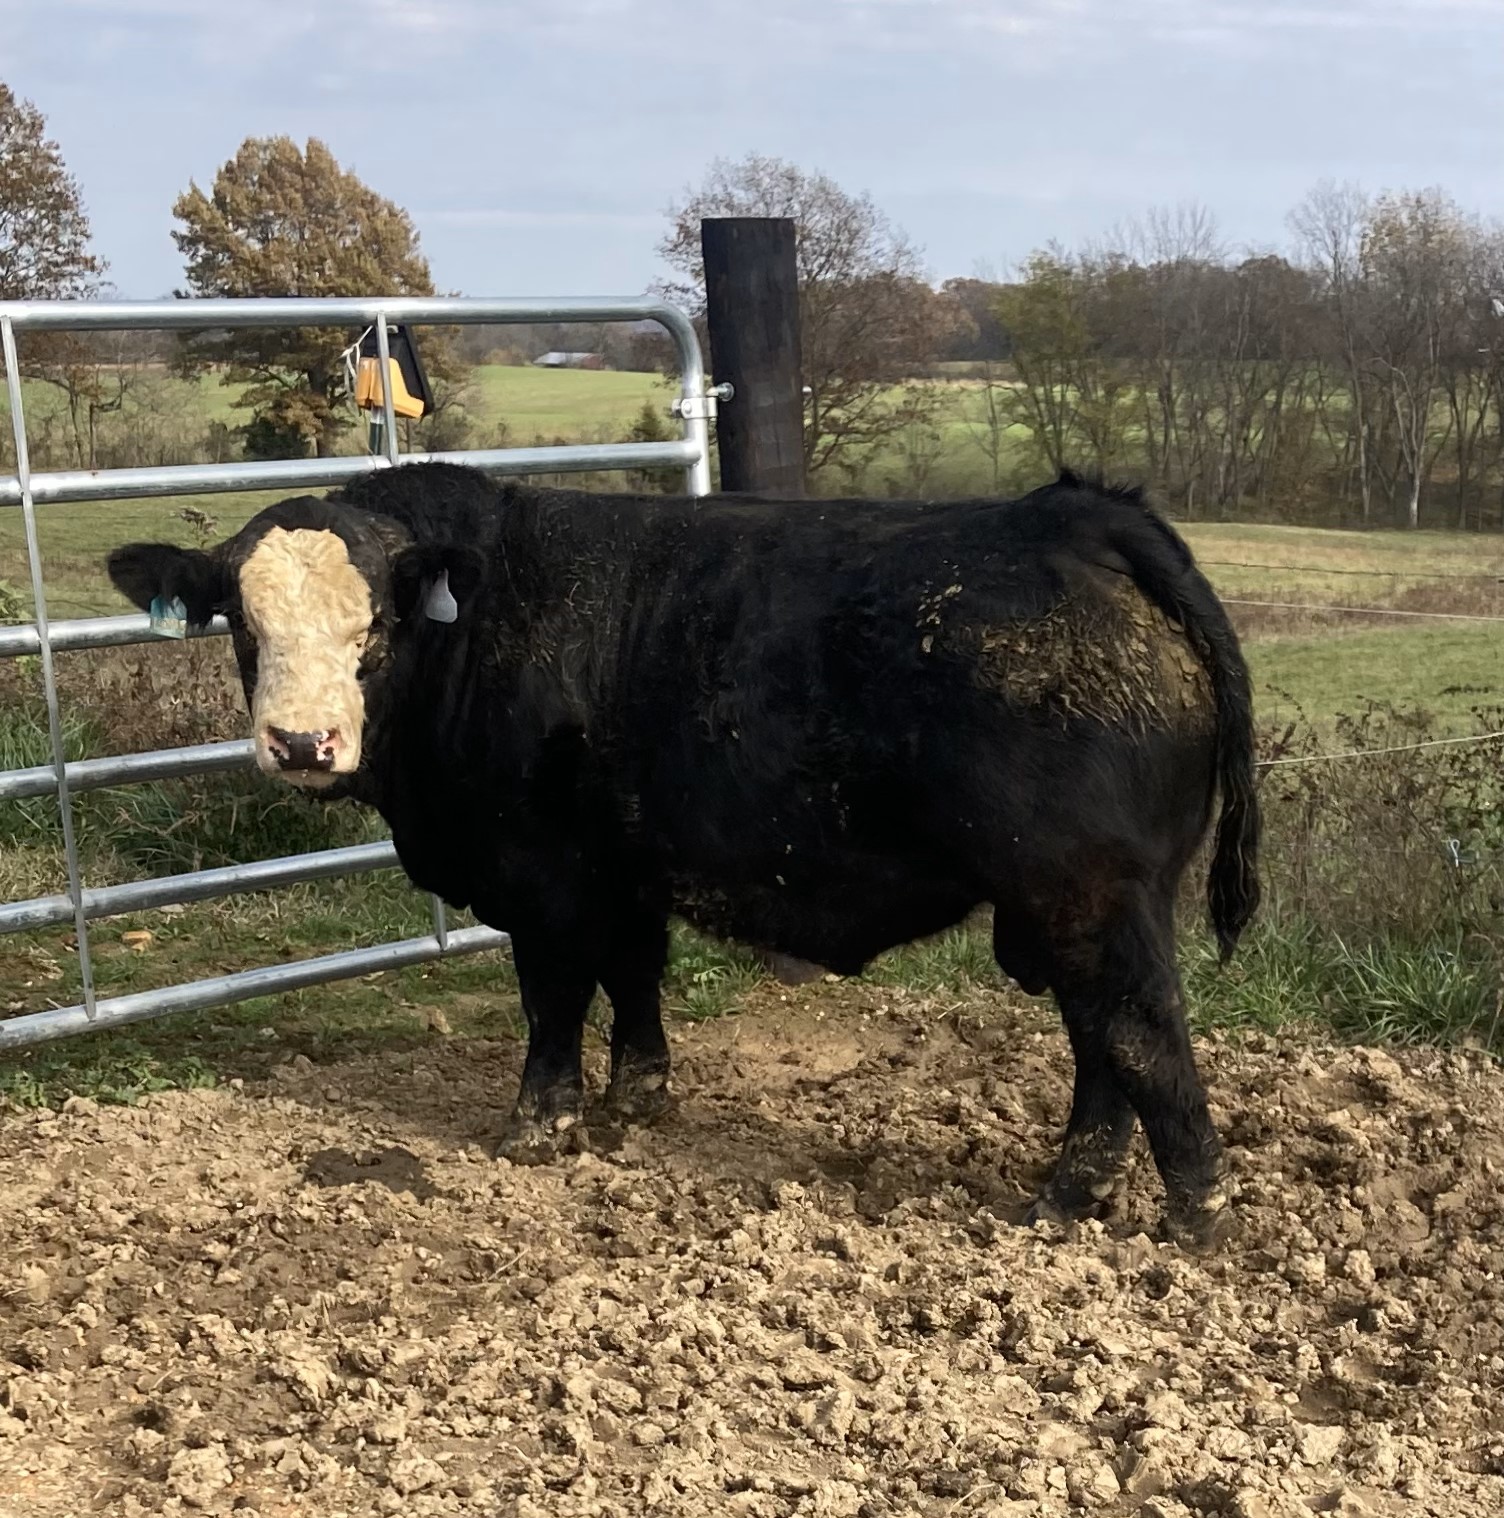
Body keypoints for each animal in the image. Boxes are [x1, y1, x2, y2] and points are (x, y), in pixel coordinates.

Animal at [108, 461, 1256, 1244]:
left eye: (379, 622)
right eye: (241, 623)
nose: (302, 742)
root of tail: (1077, 516)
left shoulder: (544, 876)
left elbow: (554, 997)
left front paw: (539, 1125)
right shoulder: (625, 868)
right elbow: (635, 973)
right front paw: (639, 1096)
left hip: (1087, 894)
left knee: (1138, 1034)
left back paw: (1185, 1215)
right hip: (1071, 906)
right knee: (1101, 1042)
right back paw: (1072, 1195)